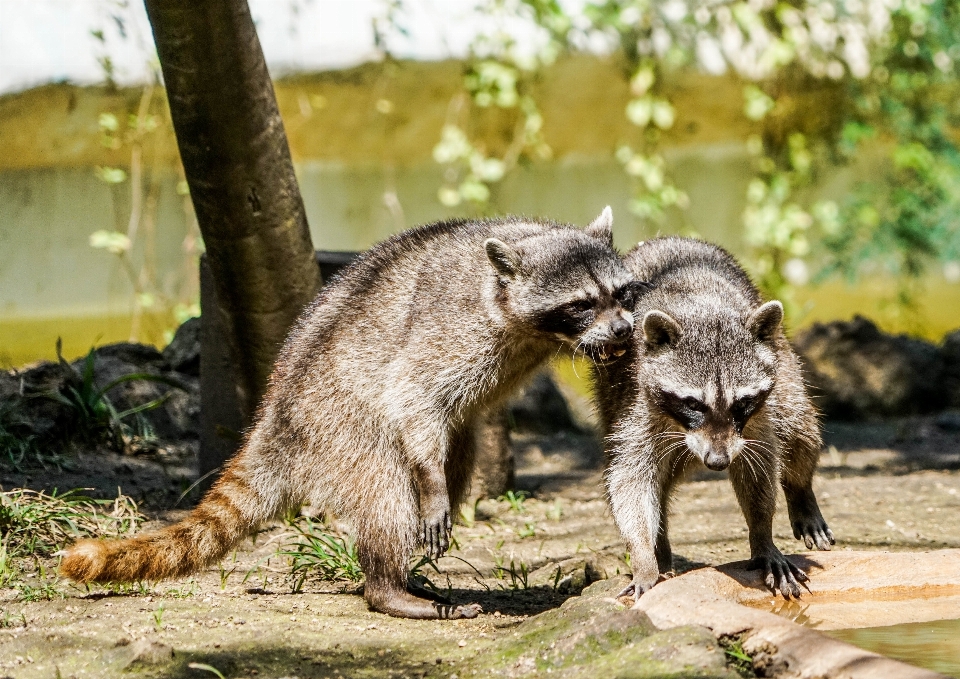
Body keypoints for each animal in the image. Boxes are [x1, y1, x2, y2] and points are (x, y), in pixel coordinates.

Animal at [60, 210, 644, 620]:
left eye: (621, 294)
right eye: (581, 304)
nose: (622, 330)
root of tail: (275, 418)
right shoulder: (450, 329)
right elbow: (412, 393)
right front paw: (428, 492)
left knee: (457, 454)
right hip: (337, 424)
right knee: (389, 490)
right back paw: (387, 585)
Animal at [596, 238, 836, 600]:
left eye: (742, 402)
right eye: (693, 403)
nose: (718, 461)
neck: (705, 314)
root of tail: (669, 239)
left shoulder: (757, 418)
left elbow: (758, 464)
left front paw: (762, 535)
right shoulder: (637, 401)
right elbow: (630, 478)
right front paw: (643, 556)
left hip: (783, 362)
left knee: (797, 426)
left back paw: (801, 491)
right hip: (608, 395)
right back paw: (660, 548)